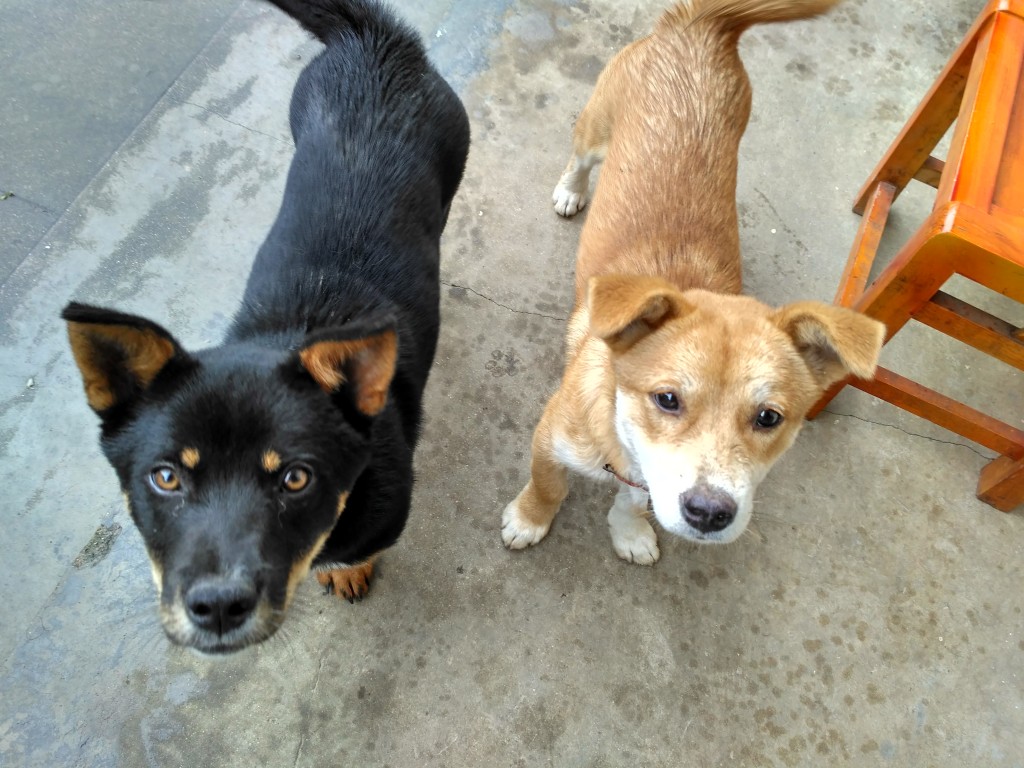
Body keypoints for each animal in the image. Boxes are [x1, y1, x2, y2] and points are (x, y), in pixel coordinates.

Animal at [66, 1, 473, 655]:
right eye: (165, 477)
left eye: (295, 478)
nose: (218, 607)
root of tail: (376, 40)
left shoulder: (386, 509)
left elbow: (356, 549)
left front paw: (347, 569)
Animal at [499, 0, 884, 565]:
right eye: (667, 400)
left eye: (768, 418)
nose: (709, 513)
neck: (620, 431)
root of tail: (698, 24)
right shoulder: (550, 437)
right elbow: (549, 485)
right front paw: (529, 520)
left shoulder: (647, 480)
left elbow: (634, 500)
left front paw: (629, 530)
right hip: (597, 125)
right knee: (580, 157)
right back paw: (571, 190)